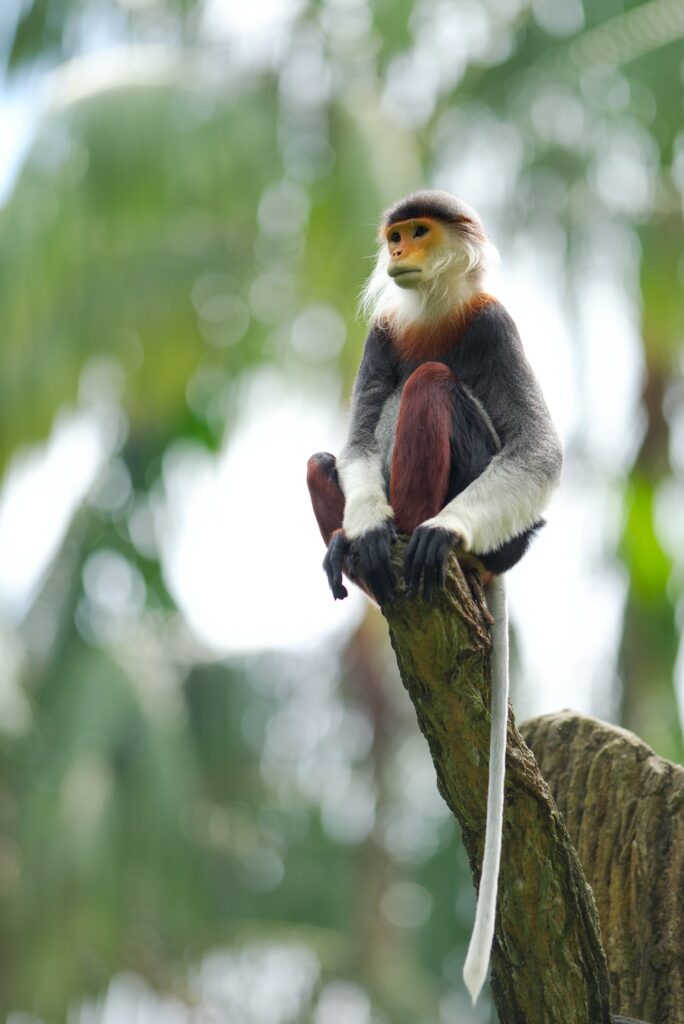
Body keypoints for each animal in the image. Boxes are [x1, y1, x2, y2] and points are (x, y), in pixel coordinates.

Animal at [306, 190, 562, 1003]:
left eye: (417, 233)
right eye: (394, 236)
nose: (397, 252)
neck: (433, 308)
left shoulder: (495, 321)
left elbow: (539, 451)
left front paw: (436, 531)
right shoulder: (383, 333)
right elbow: (356, 442)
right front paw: (359, 534)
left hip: (497, 527)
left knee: (429, 386)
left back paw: (428, 541)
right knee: (322, 458)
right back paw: (365, 555)